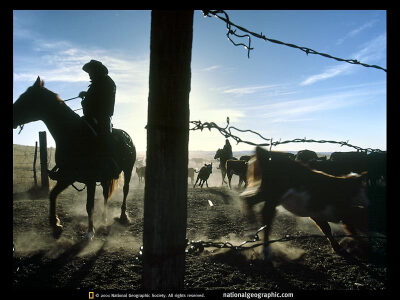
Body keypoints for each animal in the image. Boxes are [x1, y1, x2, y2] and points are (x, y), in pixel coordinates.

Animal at [13, 77, 137, 239]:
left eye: (26, 98)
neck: (73, 135)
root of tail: (127, 137)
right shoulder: (68, 176)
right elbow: (53, 195)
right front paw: (56, 225)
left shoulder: (90, 179)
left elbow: (89, 205)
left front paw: (90, 232)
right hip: (105, 177)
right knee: (105, 194)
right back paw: (104, 218)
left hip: (128, 170)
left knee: (125, 190)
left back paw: (123, 216)